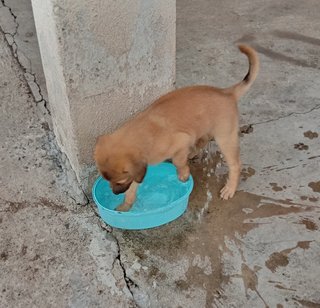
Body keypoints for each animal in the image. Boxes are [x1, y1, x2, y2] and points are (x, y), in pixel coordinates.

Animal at [94, 45, 258, 212]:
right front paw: (125, 206)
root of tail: (227, 92)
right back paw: (193, 152)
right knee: (204, 139)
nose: (115, 193)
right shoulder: (138, 171)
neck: (143, 133)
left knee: (235, 164)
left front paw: (183, 174)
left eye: (119, 182)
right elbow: (132, 190)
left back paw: (229, 188)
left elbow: (178, 161)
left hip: (225, 137)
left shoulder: (181, 141)